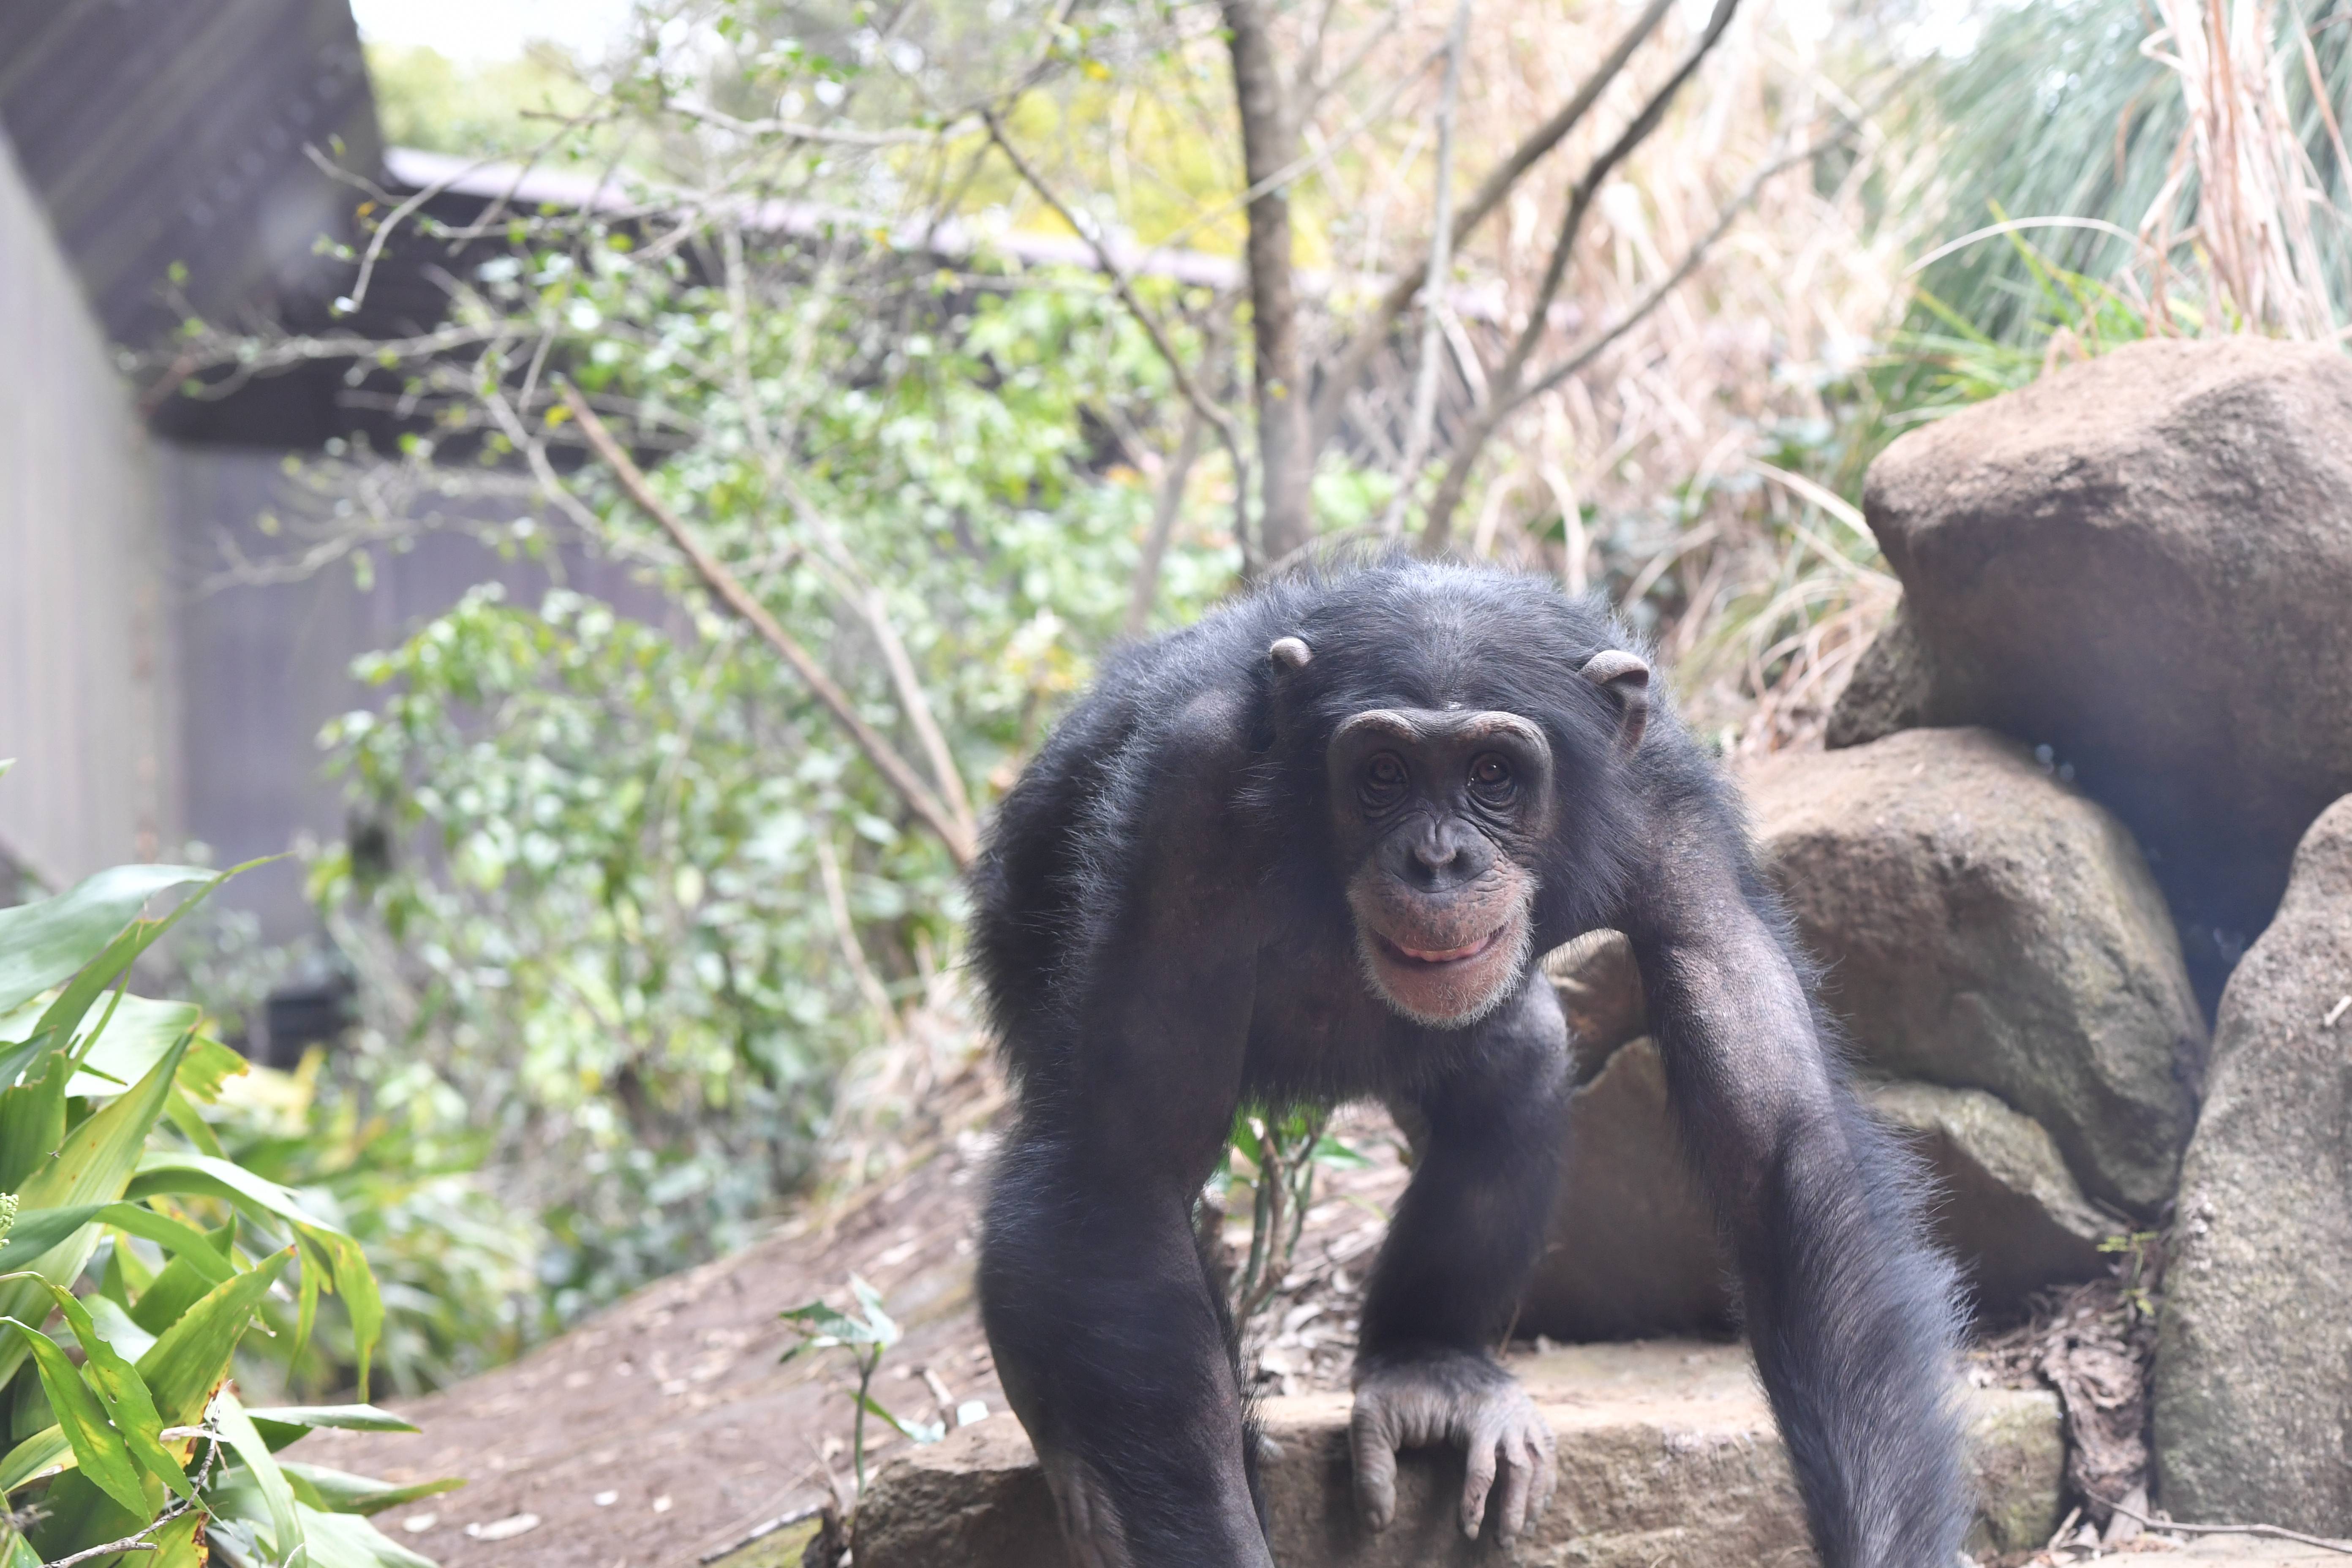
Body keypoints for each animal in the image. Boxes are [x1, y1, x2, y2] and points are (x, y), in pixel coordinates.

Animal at [964, 564, 1976, 1568]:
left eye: (1493, 773)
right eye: (1382, 773)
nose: (1437, 858)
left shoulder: (1676, 816)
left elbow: (1780, 1148)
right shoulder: (1189, 796)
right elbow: (1132, 1165)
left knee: (1515, 1068)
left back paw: (1431, 1375)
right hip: (1016, 925)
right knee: (1053, 1178)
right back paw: (1074, 1453)